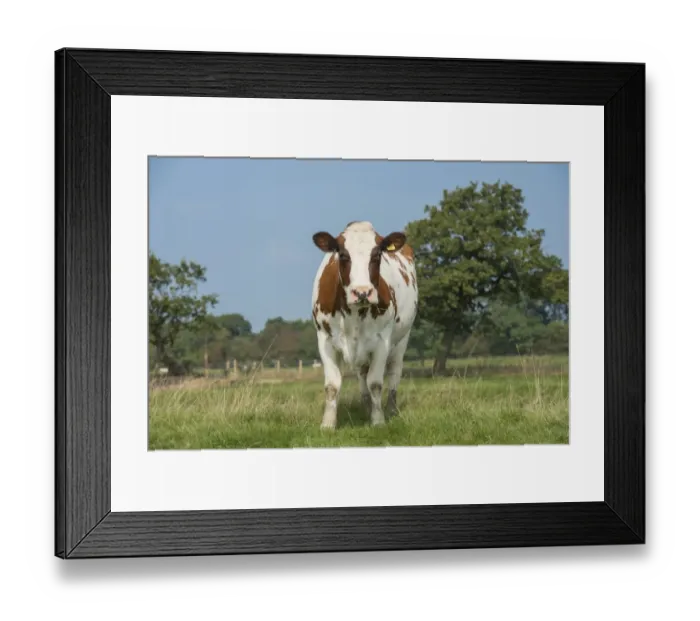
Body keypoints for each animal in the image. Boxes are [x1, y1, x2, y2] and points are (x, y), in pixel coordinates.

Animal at [310, 220, 419, 430]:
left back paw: (390, 409)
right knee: (362, 374)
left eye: (377, 255)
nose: (362, 292)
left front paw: (378, 421)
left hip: (402, 339)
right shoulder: (325, 340)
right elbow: (332, 385)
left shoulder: (382, 341)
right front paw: (328, 423)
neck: (353, 315)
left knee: (394, 373)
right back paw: (366, 408)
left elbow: (375, 383)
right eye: (343, 255)